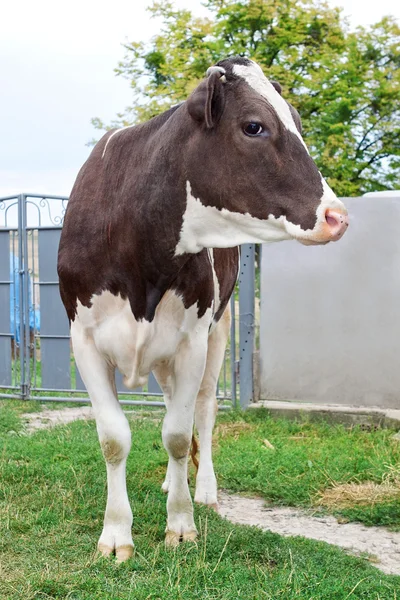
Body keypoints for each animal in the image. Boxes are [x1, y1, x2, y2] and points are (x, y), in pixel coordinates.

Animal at [57, 56, 348, 564]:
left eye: (295, 119)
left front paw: (181, 524)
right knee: (175, 404)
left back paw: (203, 491)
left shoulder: (192, 338)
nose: (337, 216)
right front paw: (115, 535)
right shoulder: (84, 339)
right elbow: (114, 439)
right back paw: (168, 483)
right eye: (254, 126)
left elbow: (177, 434)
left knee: (204, 409)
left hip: (219, 329)